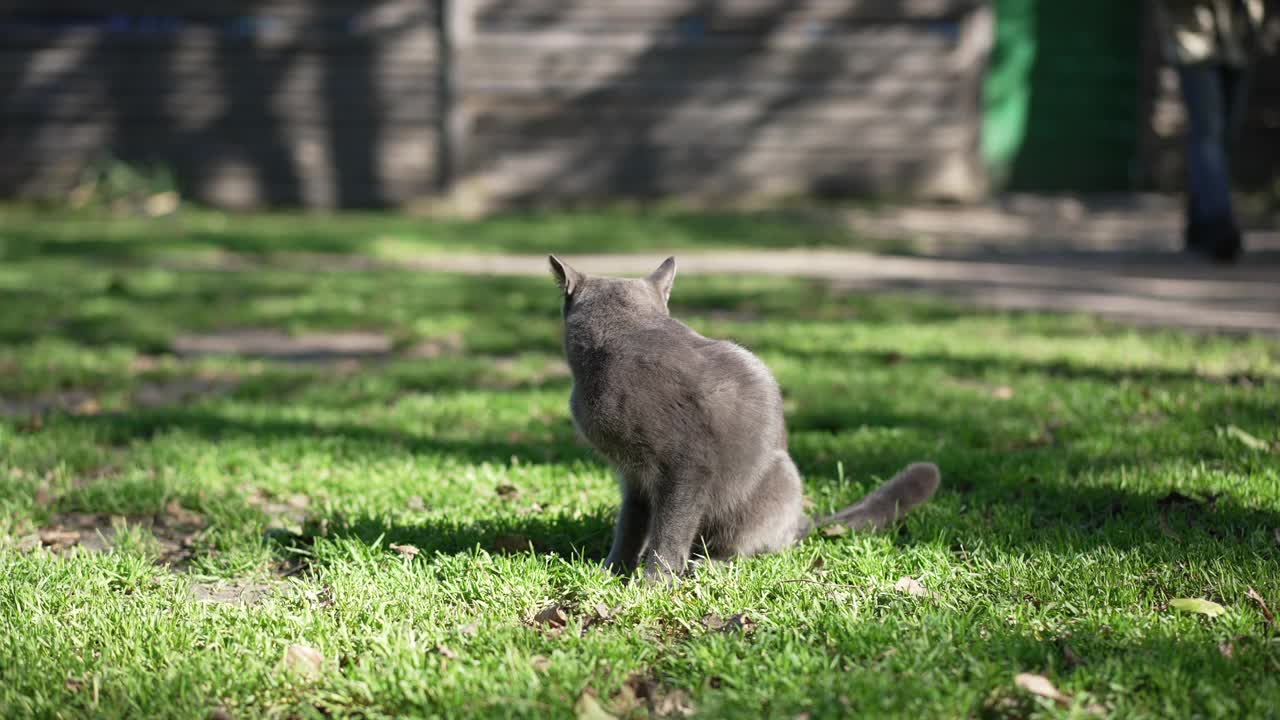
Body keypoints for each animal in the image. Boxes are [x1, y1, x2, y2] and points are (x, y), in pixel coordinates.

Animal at [550, 254, 942, 579]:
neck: (623, 338)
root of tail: (800, 520)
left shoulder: (687, 465)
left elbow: (671, 529)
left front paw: (654, 583)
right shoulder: (633, 477)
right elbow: (630, 526)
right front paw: (611, 571)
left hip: (778, 479)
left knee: (745, 548)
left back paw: (706, 565)